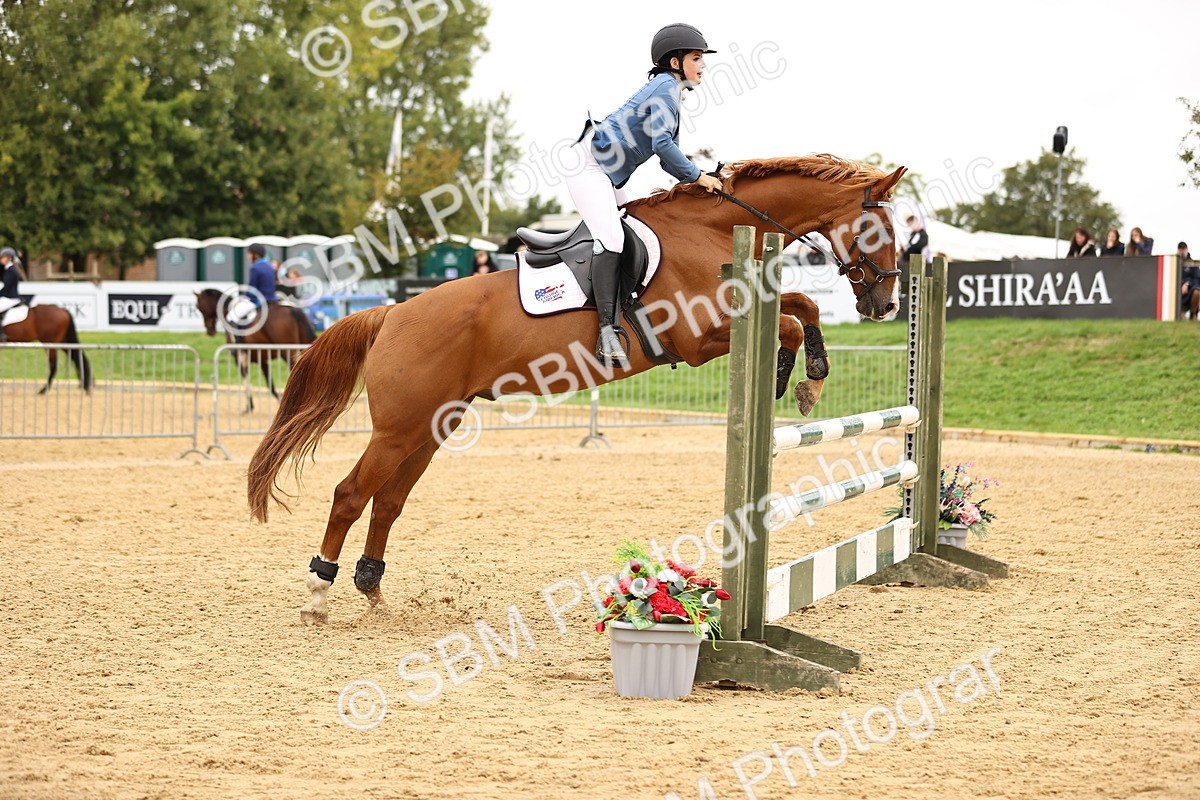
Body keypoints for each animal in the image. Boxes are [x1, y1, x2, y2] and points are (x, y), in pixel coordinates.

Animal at [246, 154, 907, 625]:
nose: (884, 305)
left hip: (432, 427)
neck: (717, 229)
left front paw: (808, 375)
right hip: (400, 427)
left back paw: (372, 589)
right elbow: (792, 319)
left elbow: (801, 306)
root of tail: (391, 313)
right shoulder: (699, 339)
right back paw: (318, 593)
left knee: (388, 501)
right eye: (878, 229)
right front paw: (792, 378)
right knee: (350, 494)